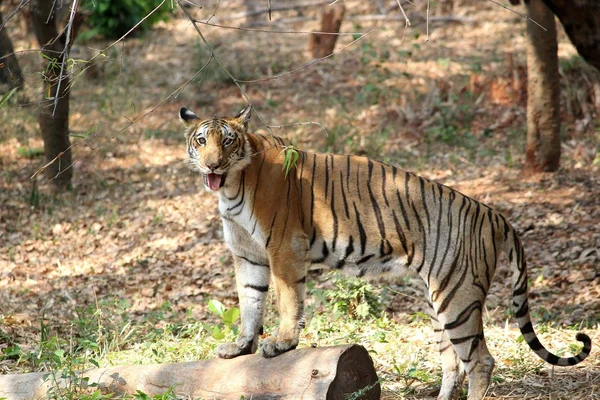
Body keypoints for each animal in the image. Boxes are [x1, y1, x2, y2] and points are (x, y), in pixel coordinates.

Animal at [178, 104, 592, 398]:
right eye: (201, 141)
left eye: (227, 141)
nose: (213, 164)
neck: (232, 185)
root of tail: (494, 214)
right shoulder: (247, 255)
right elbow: (250, 301)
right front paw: (241, 346)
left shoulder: (283, 249)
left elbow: (287, 301)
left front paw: (280, 344)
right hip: (438, 298)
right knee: (452, 361)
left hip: (458, 298)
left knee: (480, 362)